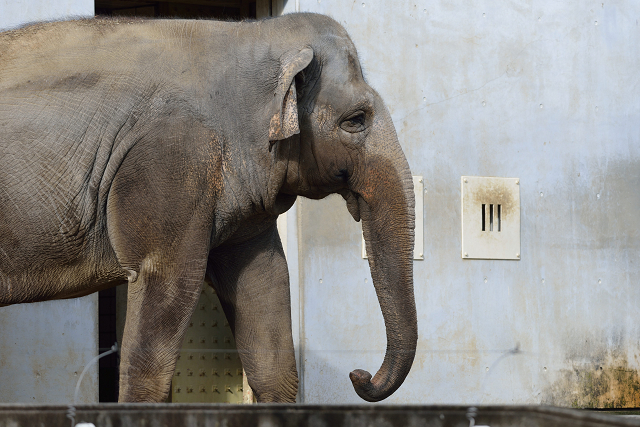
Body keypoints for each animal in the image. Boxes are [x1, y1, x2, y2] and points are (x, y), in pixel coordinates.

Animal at [0, 11, 418, 402]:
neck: (250, 34)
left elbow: (265, 285)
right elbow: (168, 281)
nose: (358, 375)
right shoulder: (174, 159)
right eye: (356, 120)